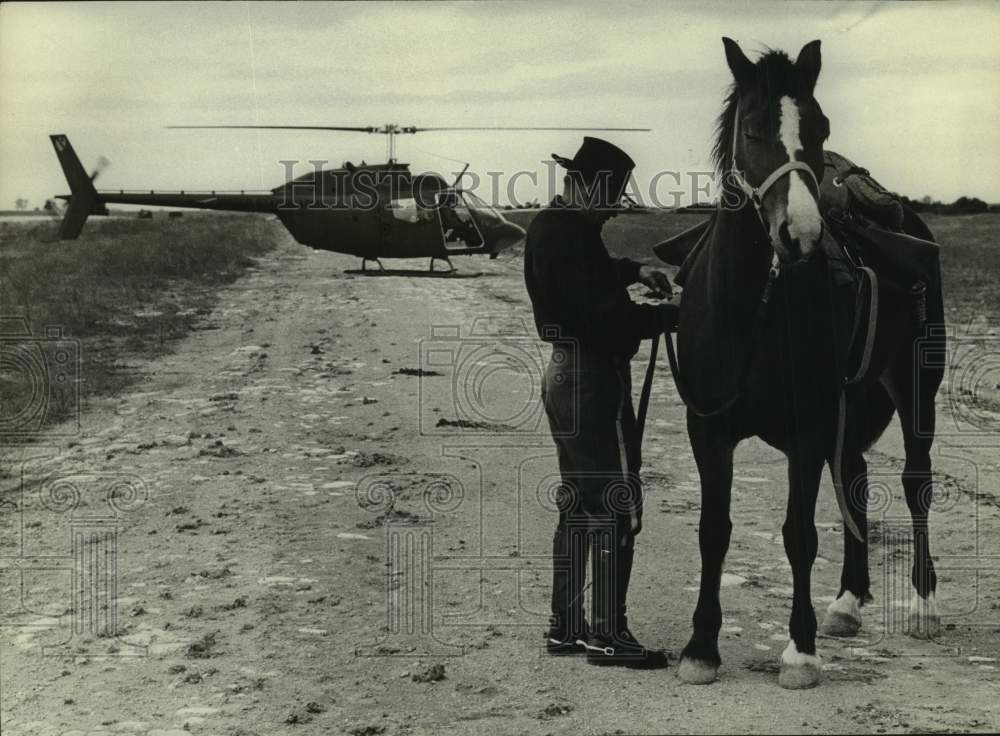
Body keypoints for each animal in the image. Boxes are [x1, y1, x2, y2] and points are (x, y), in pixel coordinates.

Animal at [668, 38, 945, 689]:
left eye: (820, 128)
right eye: (751, 129)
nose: (800, 234)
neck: (752, 307)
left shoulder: (807, 429)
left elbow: (798, 534)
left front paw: (800, 650)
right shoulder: (708, 429)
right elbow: (713, 531)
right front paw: (701, 647)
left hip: (914, 390)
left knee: (914, 482)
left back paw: (922, 605)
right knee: (855, 479)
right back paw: (847, 601)